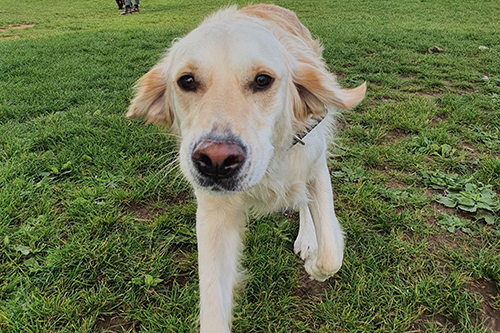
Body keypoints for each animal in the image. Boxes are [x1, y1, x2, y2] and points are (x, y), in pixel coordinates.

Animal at [127, 3, 366, 330]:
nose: (215, 161)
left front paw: (314, 263)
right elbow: (213, 307)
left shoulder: (315, 164)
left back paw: (307, 238)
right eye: (186, 81)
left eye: (263, 80)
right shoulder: (214, 211)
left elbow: (331, 255)